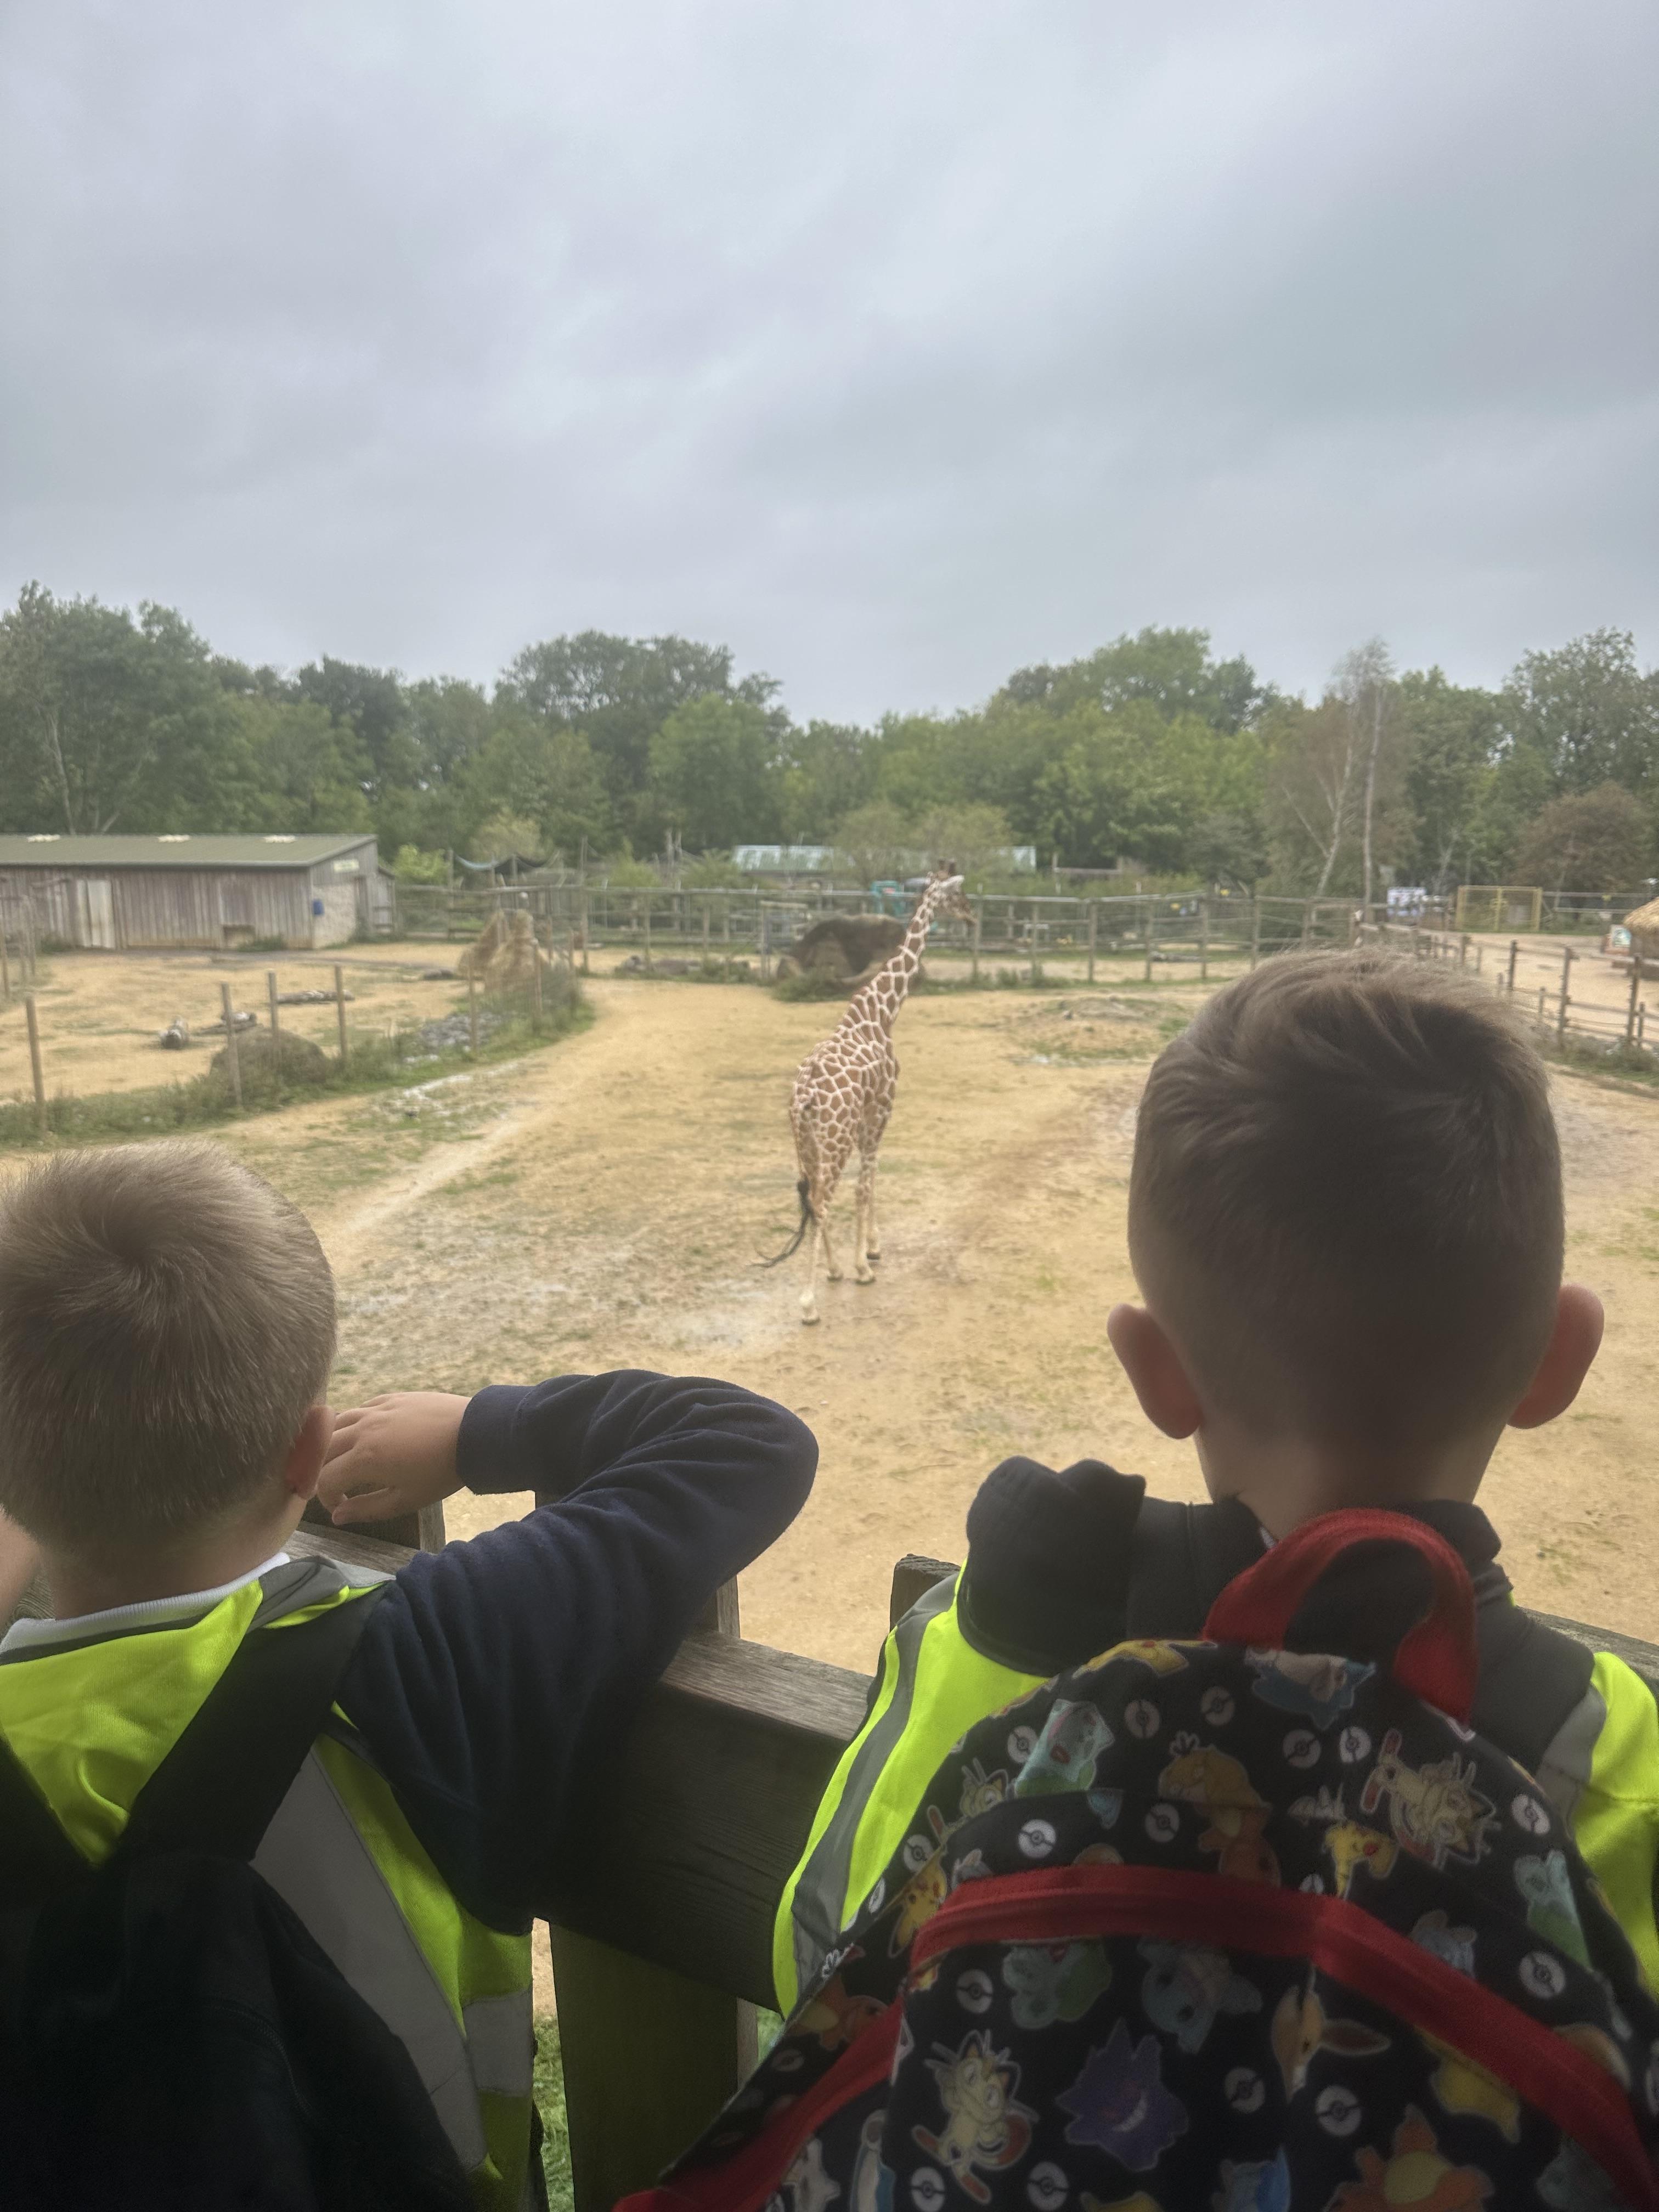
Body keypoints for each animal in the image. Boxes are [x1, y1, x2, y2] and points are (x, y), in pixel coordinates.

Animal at [774, 866, 974, 1325]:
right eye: (960, 896)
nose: (973, 919)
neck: (882, 1012)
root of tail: (803, 1099)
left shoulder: (871, 1115)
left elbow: (871, 1180)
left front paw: (870, 1249)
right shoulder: (882, 1109)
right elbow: (866, 1185)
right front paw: (864, 1264)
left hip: (806, 1143)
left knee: (812, 1198)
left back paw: (831, 1270)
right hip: (836, 1138)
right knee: (823, 1200)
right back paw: (810, 1303)